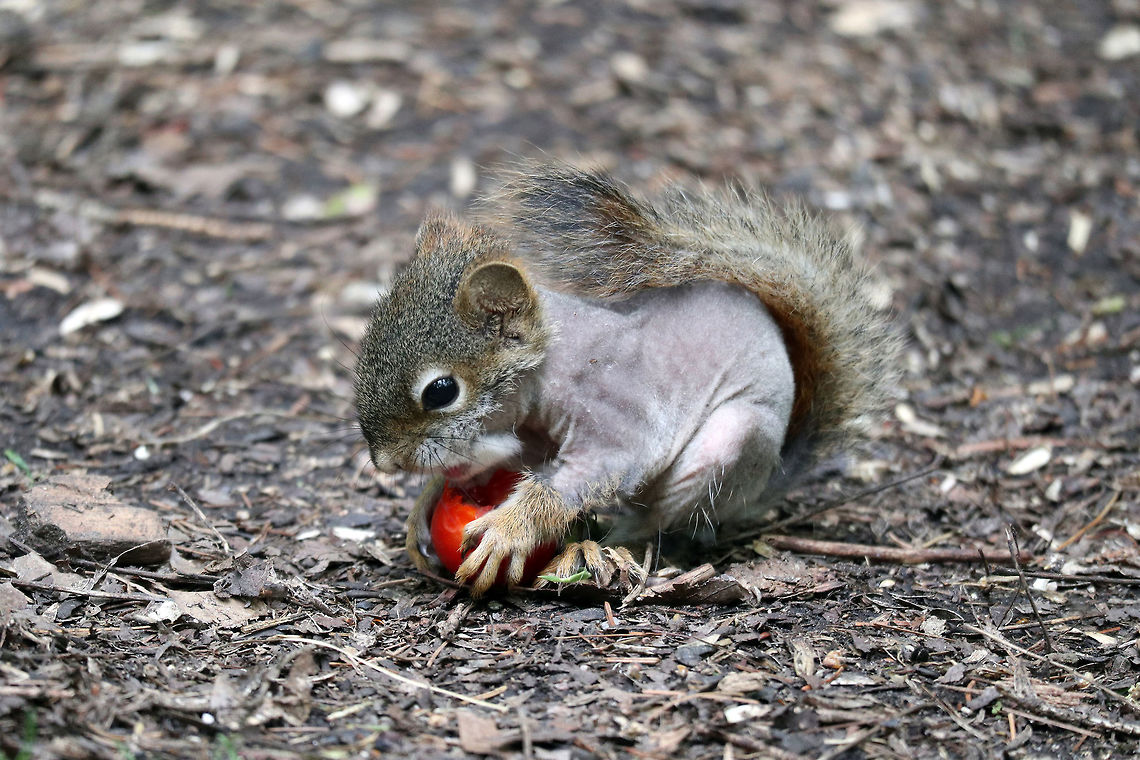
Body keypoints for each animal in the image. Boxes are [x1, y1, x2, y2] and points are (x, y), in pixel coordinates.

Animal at [354, 162, 899, 596]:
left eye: (441, 391)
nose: (384, 462)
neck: (552, 364)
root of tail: (770, 479)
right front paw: (425, 503)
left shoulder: (618, 415)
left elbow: (598, 469)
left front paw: (509, 529)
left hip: (728, 447)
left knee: (660, 522)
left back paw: (601, 547)